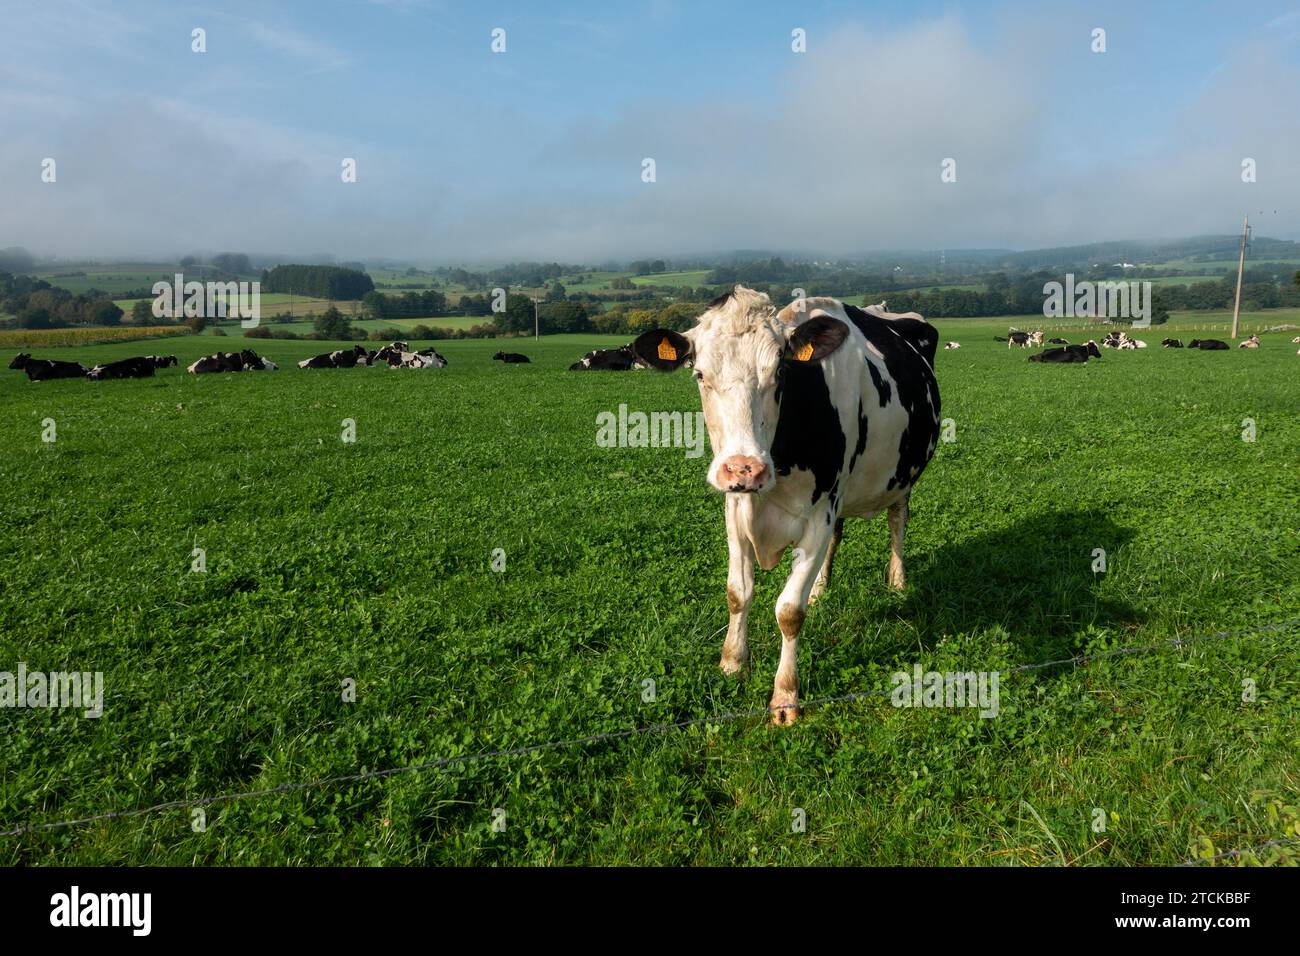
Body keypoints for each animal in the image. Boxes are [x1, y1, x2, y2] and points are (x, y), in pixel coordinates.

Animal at [629, 286, 941, 725]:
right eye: (700, 374)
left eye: (780, 374)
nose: (745, 468)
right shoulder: (735, 507)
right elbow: (737, 592)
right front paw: (732, 662)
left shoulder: (819, 514)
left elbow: (789, 612)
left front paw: (785, 697)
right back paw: (821, 588)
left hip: (903, 473)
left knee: (898, 520)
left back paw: (897, 580)